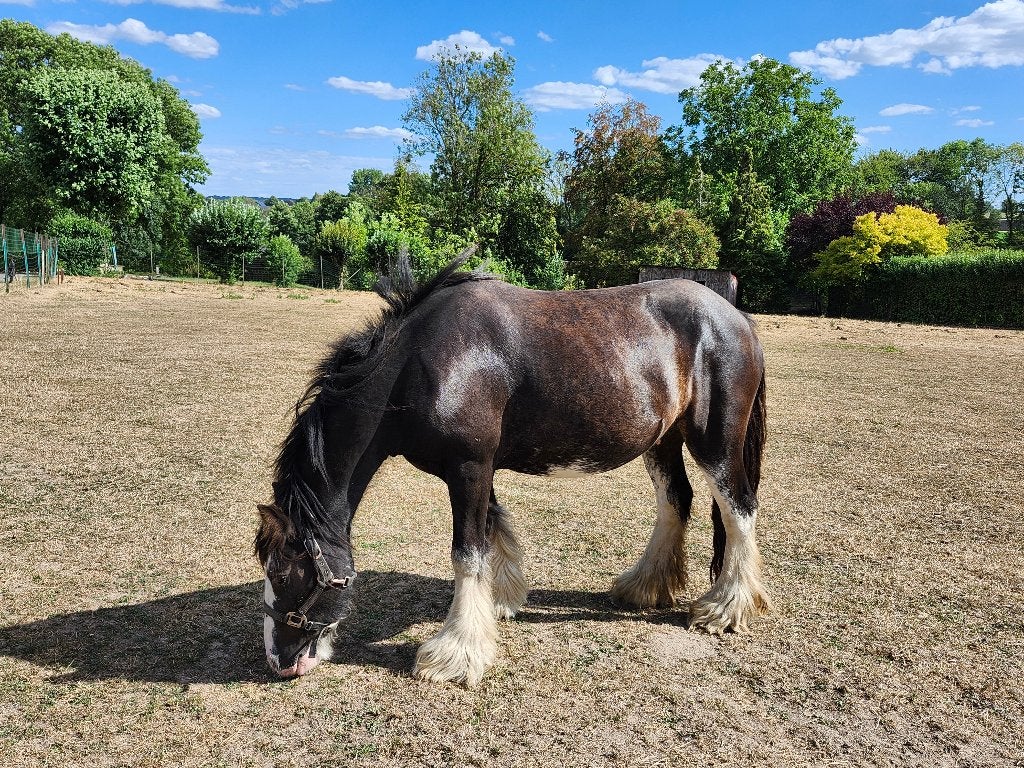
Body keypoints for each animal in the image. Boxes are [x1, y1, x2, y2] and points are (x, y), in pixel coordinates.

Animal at [255, 251, 770, 686]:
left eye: (282, 573)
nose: (280, 661)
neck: (423, 361)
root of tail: (736, 319)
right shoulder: (479, 468)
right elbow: (493, 530)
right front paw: (499, 603)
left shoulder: (468, 467)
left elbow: (467, 553)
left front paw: (455, 653)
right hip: (662, 440)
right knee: (675, 501)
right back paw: (645, 587)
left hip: (715, 444)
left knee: (739, 509)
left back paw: (726, 609)